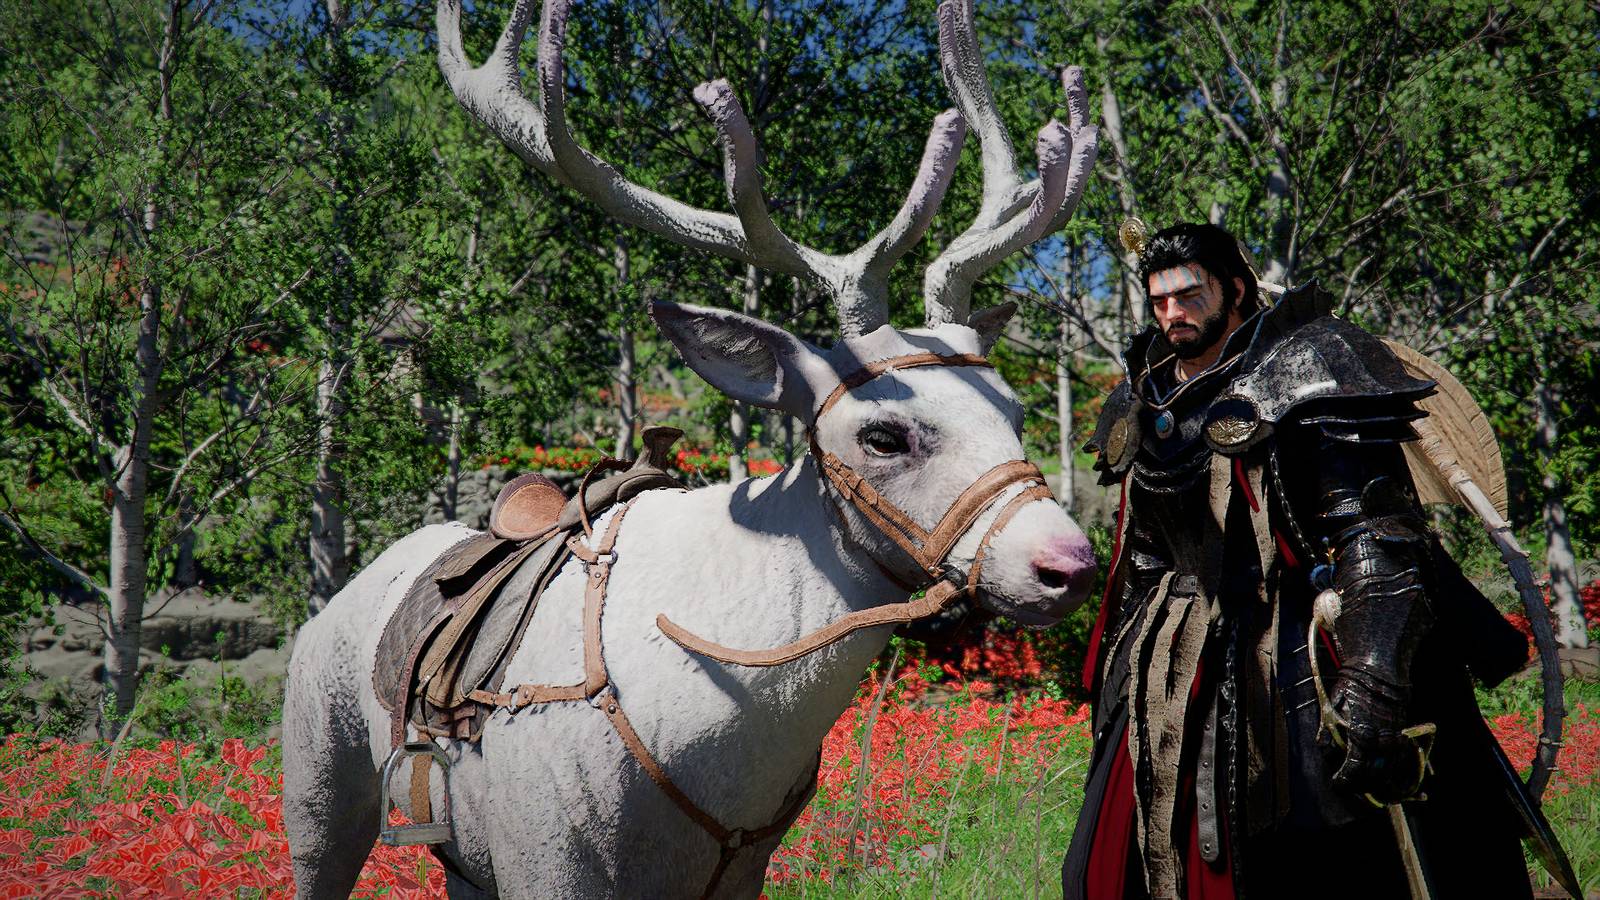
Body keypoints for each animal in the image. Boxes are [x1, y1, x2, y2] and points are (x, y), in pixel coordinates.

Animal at [281, 0, 1100, 896]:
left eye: (1014, 411)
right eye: (884, 434)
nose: (1068, 564)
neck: (721, 735)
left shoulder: (743, 868)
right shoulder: (547, 857)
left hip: (462, 857)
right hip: (317, 786)